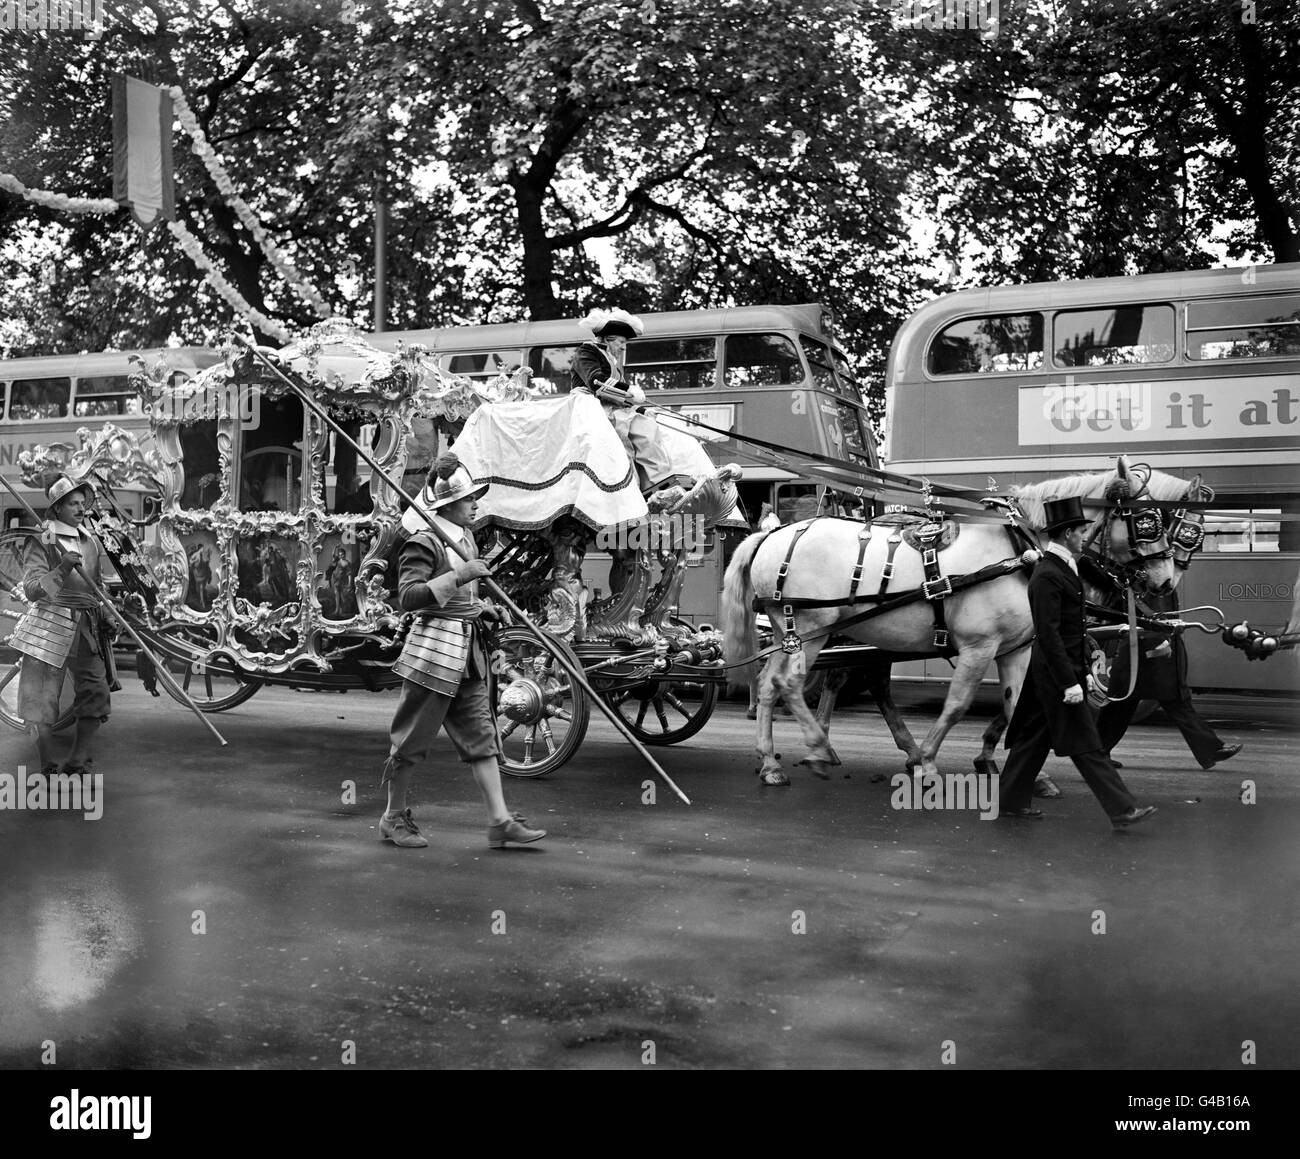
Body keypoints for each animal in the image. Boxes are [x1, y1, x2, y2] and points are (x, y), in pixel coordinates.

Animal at [722, 457, 1196, 784]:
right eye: (1148, 520)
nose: (1165, 580)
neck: (1019, 546)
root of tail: (770, 535)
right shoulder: (978, 646)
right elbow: (957, 704)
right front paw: (927, 762)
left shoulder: (1017, 649)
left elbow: (1016, 703)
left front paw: (1027, 771)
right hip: (808, 629)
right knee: (789, 684)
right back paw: (819, 748)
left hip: (791, 633)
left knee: (769, 684)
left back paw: (770, 762)